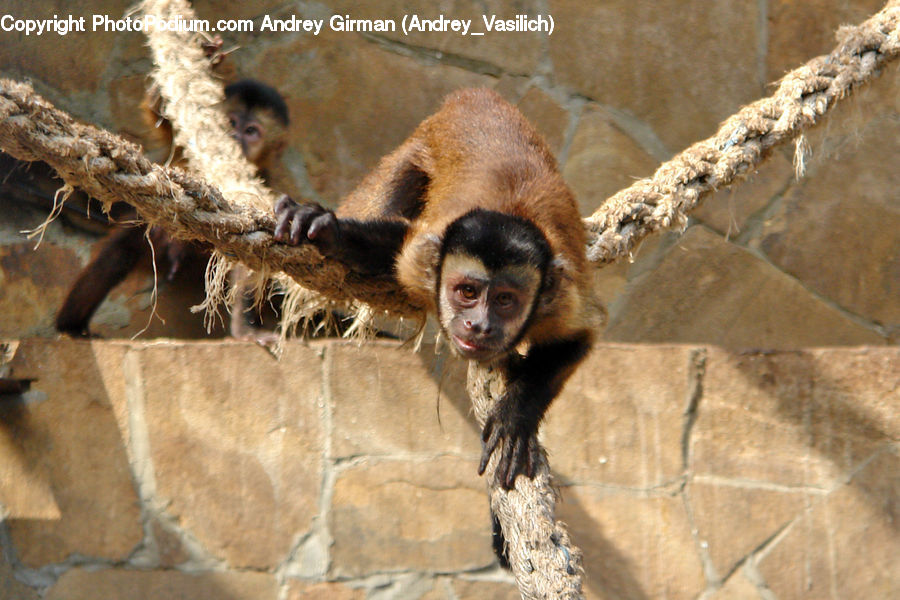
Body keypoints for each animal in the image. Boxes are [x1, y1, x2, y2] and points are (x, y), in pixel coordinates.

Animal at [55, 79, 291, 339]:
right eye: (230, 123)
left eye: (251, 131)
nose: (234, 137)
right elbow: (163, 118)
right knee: (116, 254)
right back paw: (71, 326)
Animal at [273, 87, 597, 490]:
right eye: (467, 292)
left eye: (506, 301)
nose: (479, 325)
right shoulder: (420, 258)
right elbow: (395, 247)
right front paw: (326, 228)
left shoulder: (560, 300)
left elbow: (577, 338)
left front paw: (515, 417)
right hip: (418, 145)